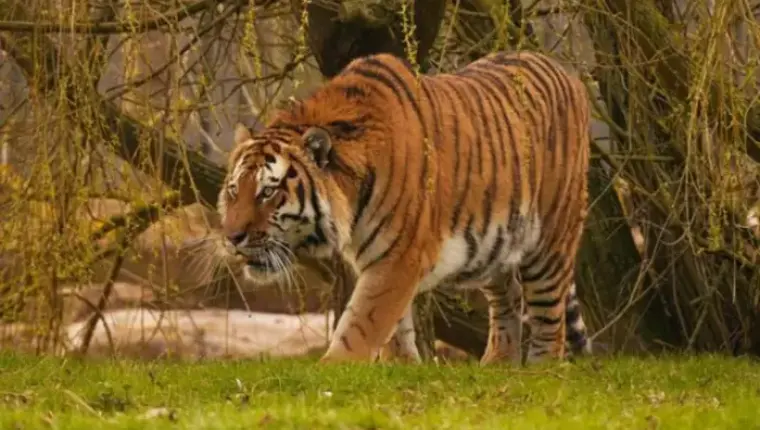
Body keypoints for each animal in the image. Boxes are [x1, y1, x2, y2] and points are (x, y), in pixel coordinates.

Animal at [217, 50, 593, 365]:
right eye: (234, 191)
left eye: (268, 192)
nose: (232, 238)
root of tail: (567, 73)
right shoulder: (382, 258)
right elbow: (395, 326)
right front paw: (401, 366)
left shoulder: (399, 257)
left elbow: (363, 322)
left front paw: (333, 369)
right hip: (496, 247)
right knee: (509, 296)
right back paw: (497, 363)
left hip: (550, 242)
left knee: (549, 315)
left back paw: (540, 369)